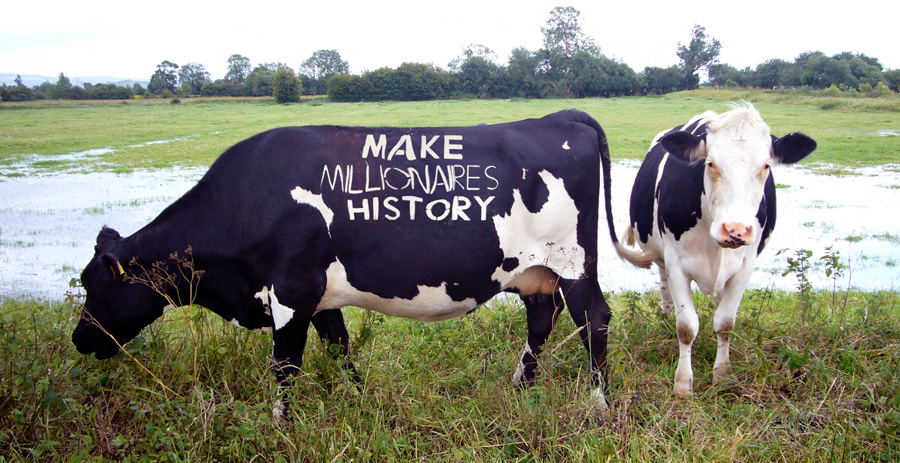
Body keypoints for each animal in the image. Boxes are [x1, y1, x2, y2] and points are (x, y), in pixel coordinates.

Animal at [72, 110, 625, 414]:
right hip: (534, 271)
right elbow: (340, 349)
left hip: (574, 262)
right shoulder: (320, 298)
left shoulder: (290, 292)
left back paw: (598, 402)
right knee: (542, 317)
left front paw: (281, 426)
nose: (79, 339)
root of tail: (559, 117)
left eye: (95, 285)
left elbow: (286, 365)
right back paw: (519, 387)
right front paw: (359, 401)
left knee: (593, 319)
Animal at [616, 102, 816, 396]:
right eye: (710, 163)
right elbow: (686, 326)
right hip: (660, 256)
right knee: (664, 288)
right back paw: (665, 318)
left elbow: (725, 323)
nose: (735, 230)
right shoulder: (676, 263)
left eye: (766, 165)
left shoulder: (745, 267)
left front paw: (722, 374)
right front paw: (683, 384)